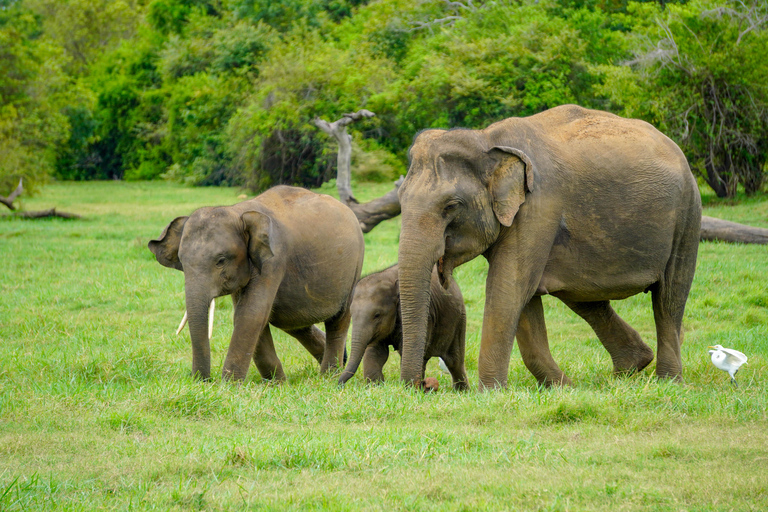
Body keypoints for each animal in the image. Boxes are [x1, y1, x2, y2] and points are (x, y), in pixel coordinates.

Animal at [148, 185, 365, 382]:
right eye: (182, 262)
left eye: (221, 260)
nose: (201, 381)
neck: (237, 212)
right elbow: (251, 315)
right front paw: (277, 383)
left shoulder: (273, 259)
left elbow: (251, 313)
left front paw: (230, 385)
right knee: (294, 322)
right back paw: (341, 361)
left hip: (355, 266)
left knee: (337, 321)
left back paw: (329, 376)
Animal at [337, 264, 468, 390]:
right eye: (352, 314)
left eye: (377, 315)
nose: (339, 385)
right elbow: (376, 352)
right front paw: (375, 387)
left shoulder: (426, 316)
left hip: (459, 320)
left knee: (454, 361)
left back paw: (461, 391)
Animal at [396, 104, 702, 390]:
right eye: (400, 198)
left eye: (451, 206)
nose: (424, 385)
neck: (486, 138)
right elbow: (523, 297)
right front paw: (562, 389)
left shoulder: (539, 206)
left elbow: (508, 288)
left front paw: (489, 393)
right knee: (583, 295)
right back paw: (629, 369)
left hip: (687, 215)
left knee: (669, 298)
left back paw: (668, 382)